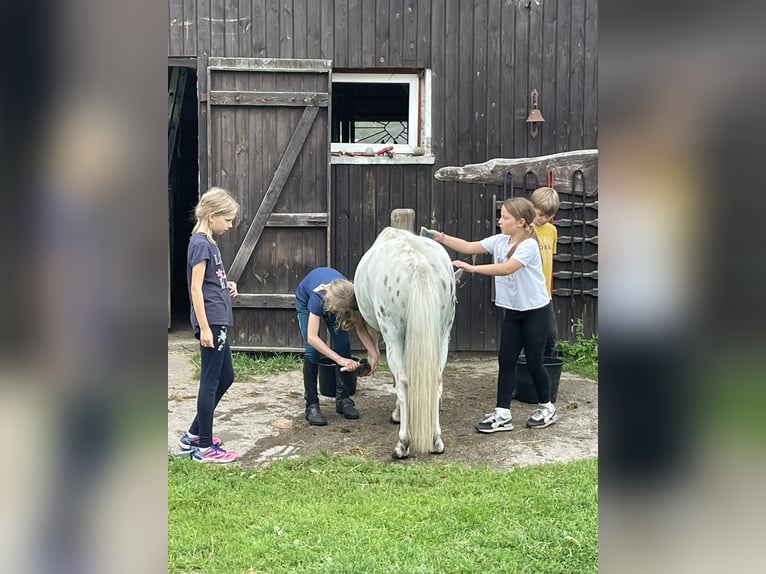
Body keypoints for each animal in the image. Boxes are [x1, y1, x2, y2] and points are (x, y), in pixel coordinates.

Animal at [354, 227, 456, 462]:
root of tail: (419, 263)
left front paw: (397, 415)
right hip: (443, 334)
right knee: (436, 380)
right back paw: (436, 441)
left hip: (393, 335)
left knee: (403, 381)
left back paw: (402, 444)